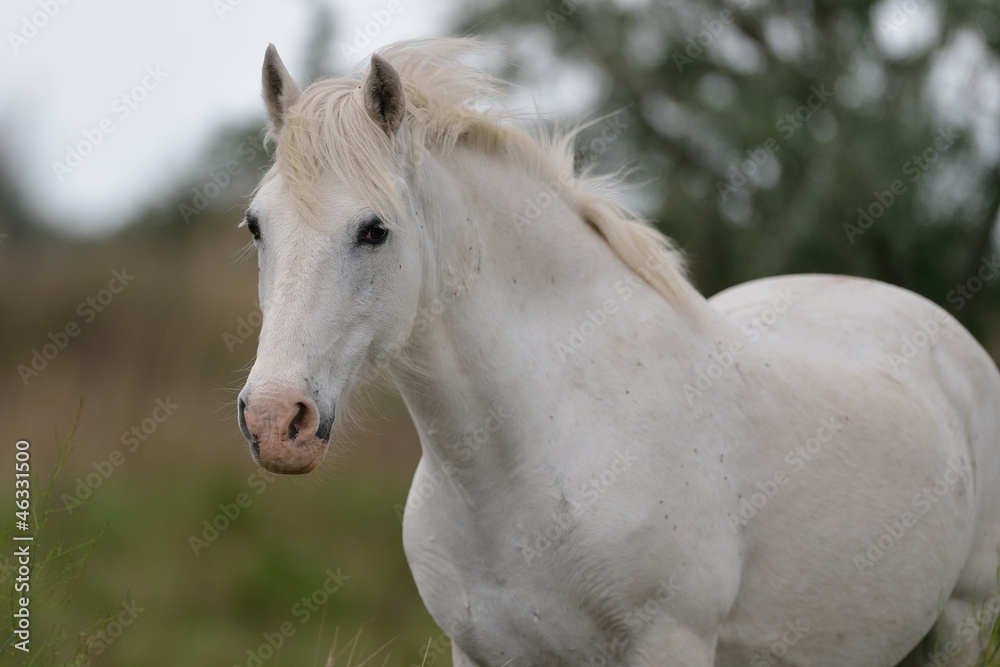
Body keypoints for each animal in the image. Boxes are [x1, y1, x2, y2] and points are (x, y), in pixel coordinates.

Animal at [235, 39, 1000, 666]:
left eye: (375, 230)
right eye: (255, 225)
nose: (276, 419)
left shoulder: (670, 643)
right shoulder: (478, 651)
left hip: (962, 622)